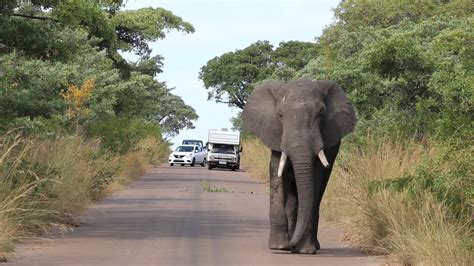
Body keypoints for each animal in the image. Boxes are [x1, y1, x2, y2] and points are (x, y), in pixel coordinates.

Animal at [241, 78, 356, 254]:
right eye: (280, 115)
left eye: (321, 114)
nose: (291, 245)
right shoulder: (276, 136)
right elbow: (277, 175)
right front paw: (279, 247)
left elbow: (314, 180)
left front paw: (304, 250)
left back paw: (310, 245)